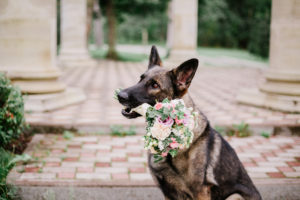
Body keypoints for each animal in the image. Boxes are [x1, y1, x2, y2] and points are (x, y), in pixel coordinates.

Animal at [117, 46, 262, 199]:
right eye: (140, 79)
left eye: (154, 85)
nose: (120, 95)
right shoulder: (168, 194)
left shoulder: (200, 193)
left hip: (235, 195)